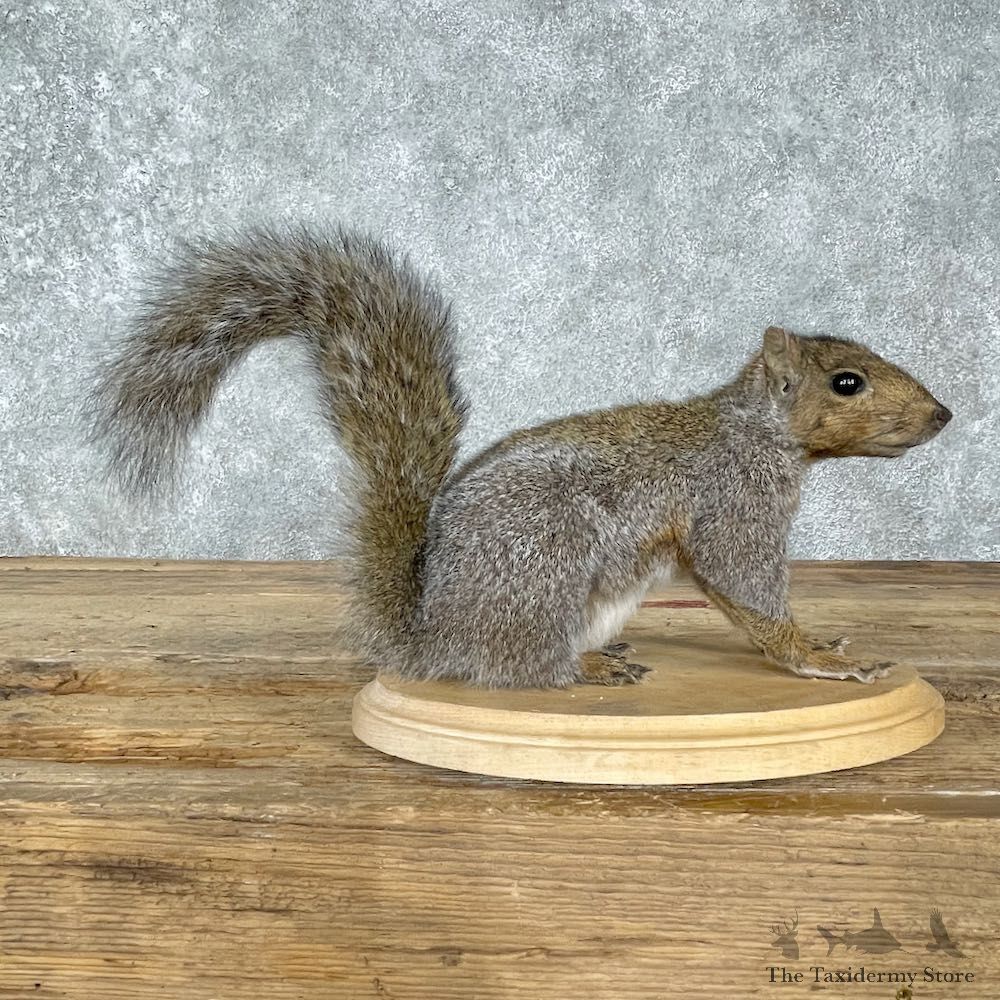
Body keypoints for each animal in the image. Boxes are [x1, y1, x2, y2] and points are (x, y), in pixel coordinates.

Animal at [91, 226, 953, 689]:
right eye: (847, 382)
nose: (943, 415)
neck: (758, 433)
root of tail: (431, 639)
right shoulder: (732, 502)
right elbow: (741, 583)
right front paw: (811, 655)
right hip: (546, 568)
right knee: (521, 670)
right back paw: (586, 671)